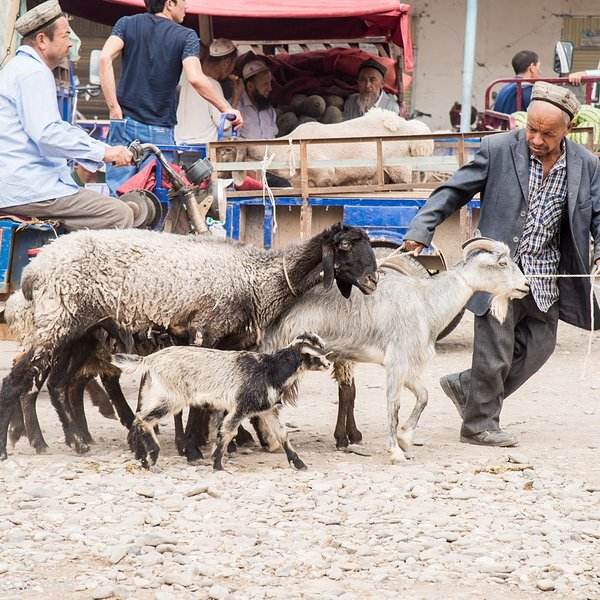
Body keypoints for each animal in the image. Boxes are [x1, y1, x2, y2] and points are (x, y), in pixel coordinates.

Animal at [260, 239, 528, 464]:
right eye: (502, 263)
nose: (526, 286)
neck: (426, 301)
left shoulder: (405, 364)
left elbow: (423, 396)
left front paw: (405, 437)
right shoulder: (396, 361)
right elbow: (393, 405)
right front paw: (396, 451)